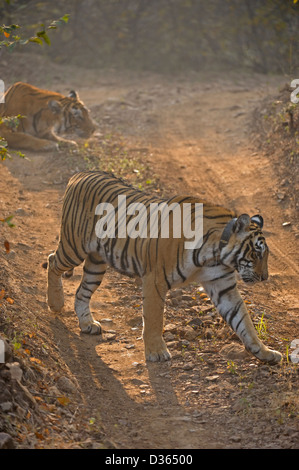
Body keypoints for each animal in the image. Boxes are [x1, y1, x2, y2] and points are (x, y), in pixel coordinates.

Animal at [47, 171, 284, 366]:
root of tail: (80, 174)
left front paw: (265, 352)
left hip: (97, 263)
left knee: (81, 291)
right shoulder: (155, 279)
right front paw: (157, 352)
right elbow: (154, 318)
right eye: (256, 253)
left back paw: (87, 323)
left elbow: (244, 322)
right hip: (73, 247)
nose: (264, 277)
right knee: (52, 261)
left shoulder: (222, 286)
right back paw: (55, 303)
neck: (215, 255)